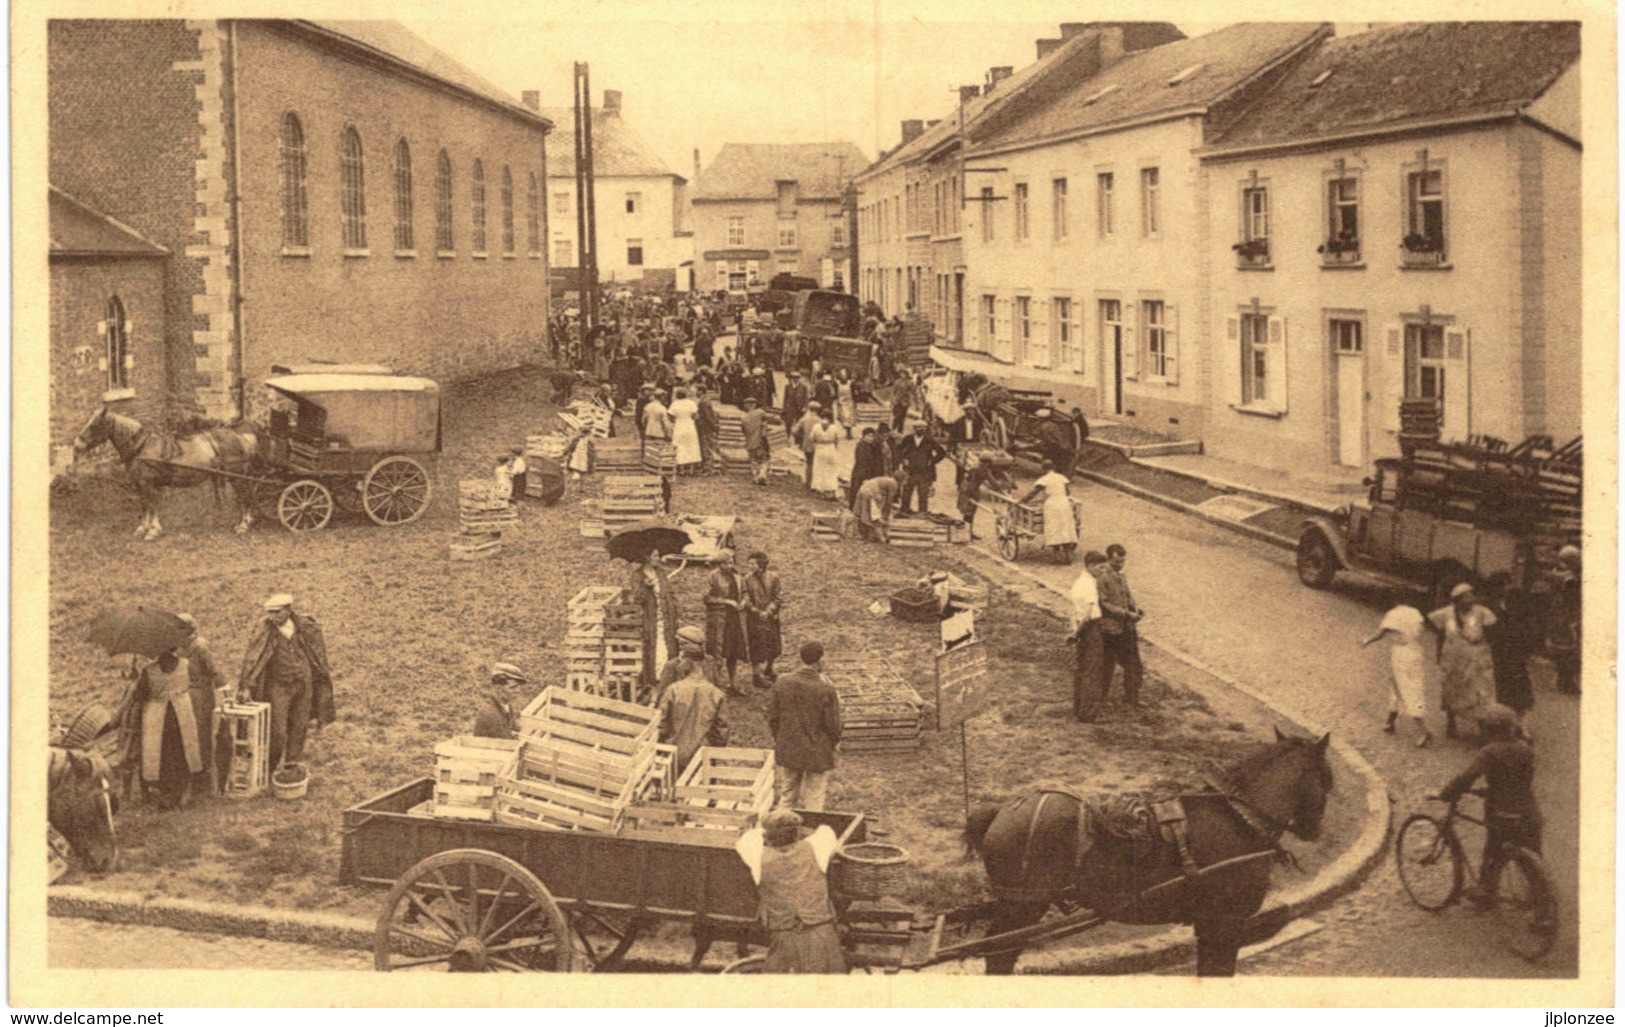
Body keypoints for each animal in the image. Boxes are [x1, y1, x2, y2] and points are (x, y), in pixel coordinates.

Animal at [72, 404, 260, 542]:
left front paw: (152, 530)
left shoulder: (148, 483)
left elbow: (152, 505)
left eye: (94, 425)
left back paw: (243, 524)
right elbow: (144, 505)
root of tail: (241, 437)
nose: (77, 446)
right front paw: (142, 528)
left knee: (245, 496)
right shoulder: (139, 484)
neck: (142, 446)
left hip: (236, 475)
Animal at [962, 724, 1332, 975]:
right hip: (1023, 906)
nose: (1313, 830)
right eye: (1327, 778)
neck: (1239, 816)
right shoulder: (1224, 924)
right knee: (998, 955)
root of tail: (1001, 810)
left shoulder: (1209, 926)